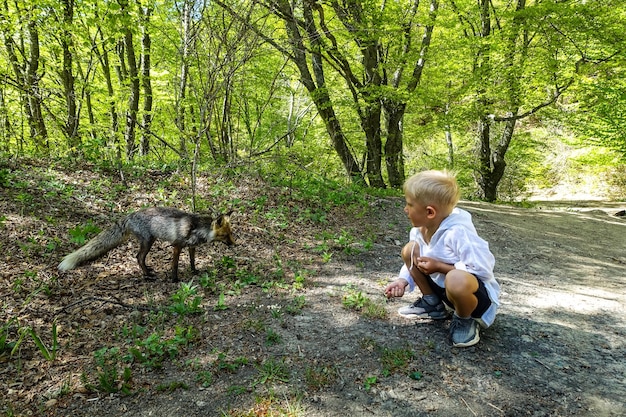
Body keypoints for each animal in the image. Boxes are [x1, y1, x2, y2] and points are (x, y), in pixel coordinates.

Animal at [58, 206, 234, 282]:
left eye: (231, 234)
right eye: (225, 235)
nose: (234, 244)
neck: (196, 228)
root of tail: (130, 215)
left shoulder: (191, 246)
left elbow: (192, 261)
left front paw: (194, 271)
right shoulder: (177, 246)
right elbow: (175, 266)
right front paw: (175, 280)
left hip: (150, 241)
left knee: (140, 259)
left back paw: (147, 271)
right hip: (148, 242)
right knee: (138, 257)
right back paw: (147, 275)